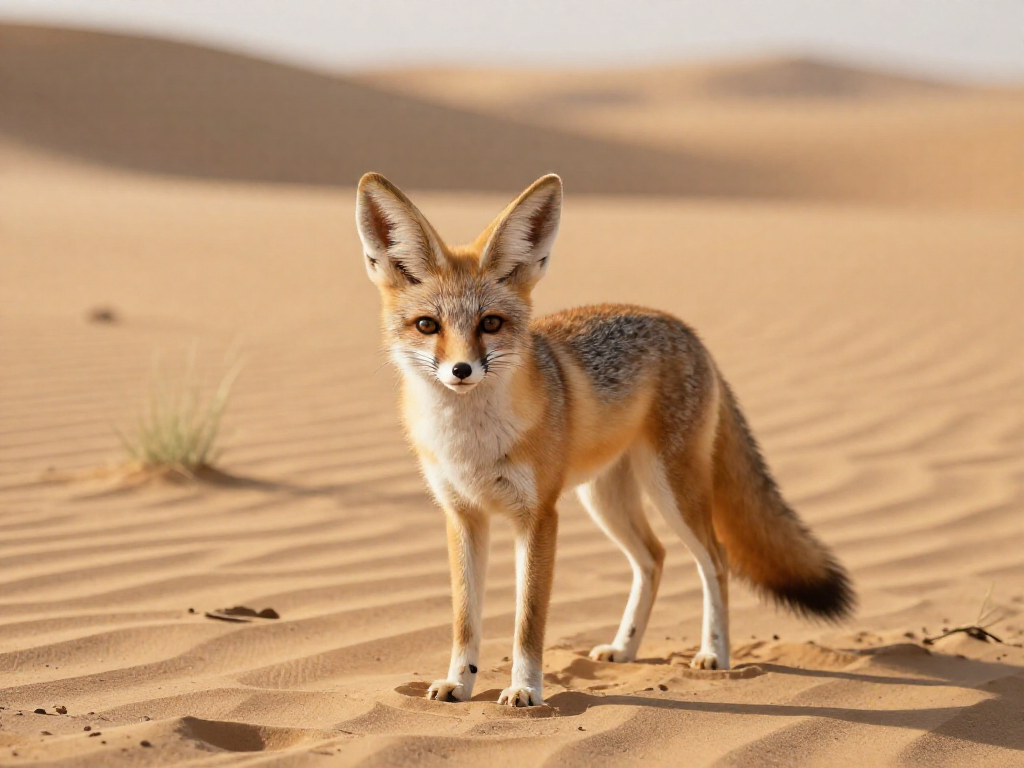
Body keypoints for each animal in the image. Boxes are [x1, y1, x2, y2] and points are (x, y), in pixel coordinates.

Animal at [355, 172, 854, 707]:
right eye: (428, 325)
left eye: (490, 323)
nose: (461, 370)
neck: (471, 445)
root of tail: (683, 327)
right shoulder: (463, 516)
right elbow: (465, 620)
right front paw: (460, 682)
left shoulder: (539, 517)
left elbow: (528, 621)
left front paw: (525, 689)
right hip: (606, 500)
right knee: (654, 559)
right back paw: (625, 648)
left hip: (672, 491)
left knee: (715, 560)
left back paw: (714, 654)